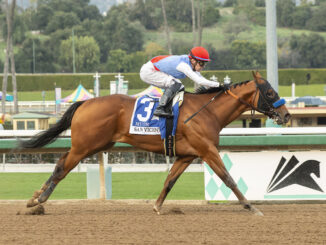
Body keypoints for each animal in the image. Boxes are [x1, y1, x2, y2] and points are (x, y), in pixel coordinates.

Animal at [21, 71, 290, 216]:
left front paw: (158, 206)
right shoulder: (207, 151)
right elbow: (228, 178)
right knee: (62, 167)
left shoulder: (187, 155)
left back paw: (34, 198)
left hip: (94, 145)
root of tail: (85, 103)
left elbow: (169, 181)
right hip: (85, 146)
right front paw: (250, 206)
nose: (286, 115)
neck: (207, 111)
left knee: (60, 162)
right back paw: (40, 199)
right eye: (270, 93)